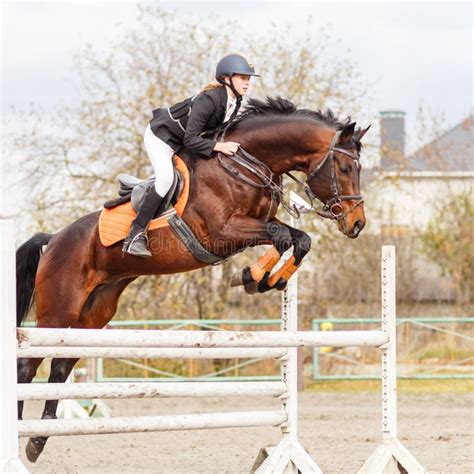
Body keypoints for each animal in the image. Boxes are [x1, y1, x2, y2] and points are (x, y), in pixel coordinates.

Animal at [15, 94, 370, 462]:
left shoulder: (256, 225)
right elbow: (282, 236)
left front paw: (261, 279)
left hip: (93, 315)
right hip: (59, 311)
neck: (244, 164)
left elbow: (297, 239)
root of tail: (54, 239)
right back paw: (22, 432)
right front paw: (254, 277)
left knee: (60, 366)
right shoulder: (222, 231)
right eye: (345, 168)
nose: (357, 223)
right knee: (27, 367)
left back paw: (38, 439)